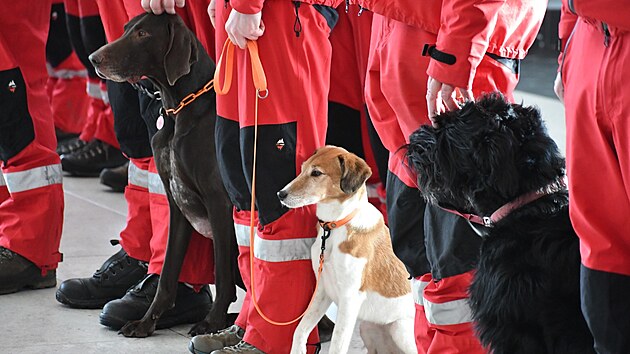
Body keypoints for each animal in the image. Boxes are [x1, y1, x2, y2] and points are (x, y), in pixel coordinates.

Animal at [90, 13, 243, 338]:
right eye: (126, 29)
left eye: (143, 34)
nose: (94, 58)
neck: (181, 110)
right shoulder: (177, 205)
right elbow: (167, 274)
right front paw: (146, 321)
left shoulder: (219, 204)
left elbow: (221, 274)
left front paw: (211, 323)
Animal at [278, 145, 418, 352]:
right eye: (302, 169)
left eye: (316, 173)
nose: (280, 194)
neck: (335, 226)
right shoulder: (322, 290)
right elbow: (300, 330)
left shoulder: (349, 298)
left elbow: (337, 345)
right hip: (367, 329)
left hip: (401, 331)